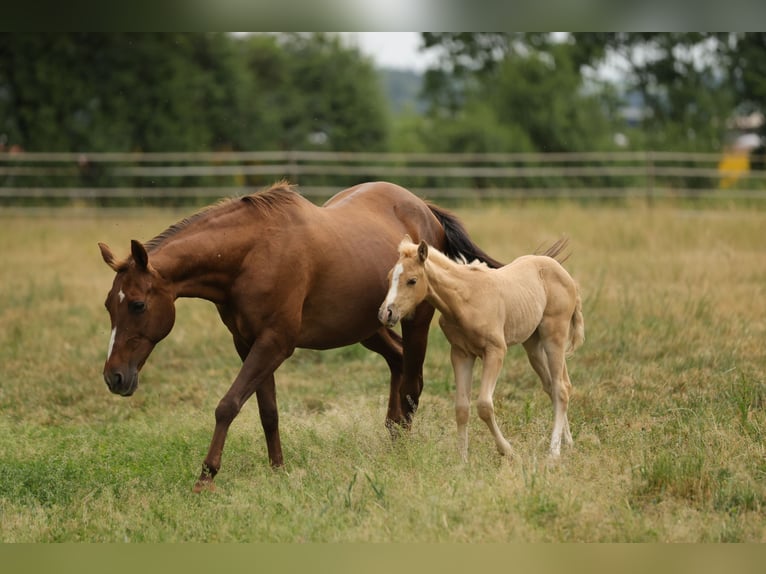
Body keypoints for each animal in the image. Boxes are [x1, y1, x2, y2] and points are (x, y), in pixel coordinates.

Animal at [98, 181, 503, 492]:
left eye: (137, 304)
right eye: (108, 305)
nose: (114, 377)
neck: (251, 255)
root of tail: (425, 209)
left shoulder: (275, 343)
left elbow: (228, 405)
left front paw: (205, 478)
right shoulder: (248, 344)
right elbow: (268, 411)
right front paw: (278, 470)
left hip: (414, 321)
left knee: (413, 384)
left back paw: (401, 451)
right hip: (367, 328)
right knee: (399, 363)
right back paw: (391, 436)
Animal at [378, 236, 584, 461]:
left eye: (412, 280)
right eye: (388, 277)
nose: (386, 313)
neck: (465, 299)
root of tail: (566, 275)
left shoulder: (495, 351)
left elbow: (484, 405)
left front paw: (508, 451)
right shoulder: (461, 354)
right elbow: (461, 408)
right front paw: (462, 460)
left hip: (554, 336)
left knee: (560, 388)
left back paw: (554, 452)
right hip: (533, 344)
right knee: (554, 386)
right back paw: (568, 443)